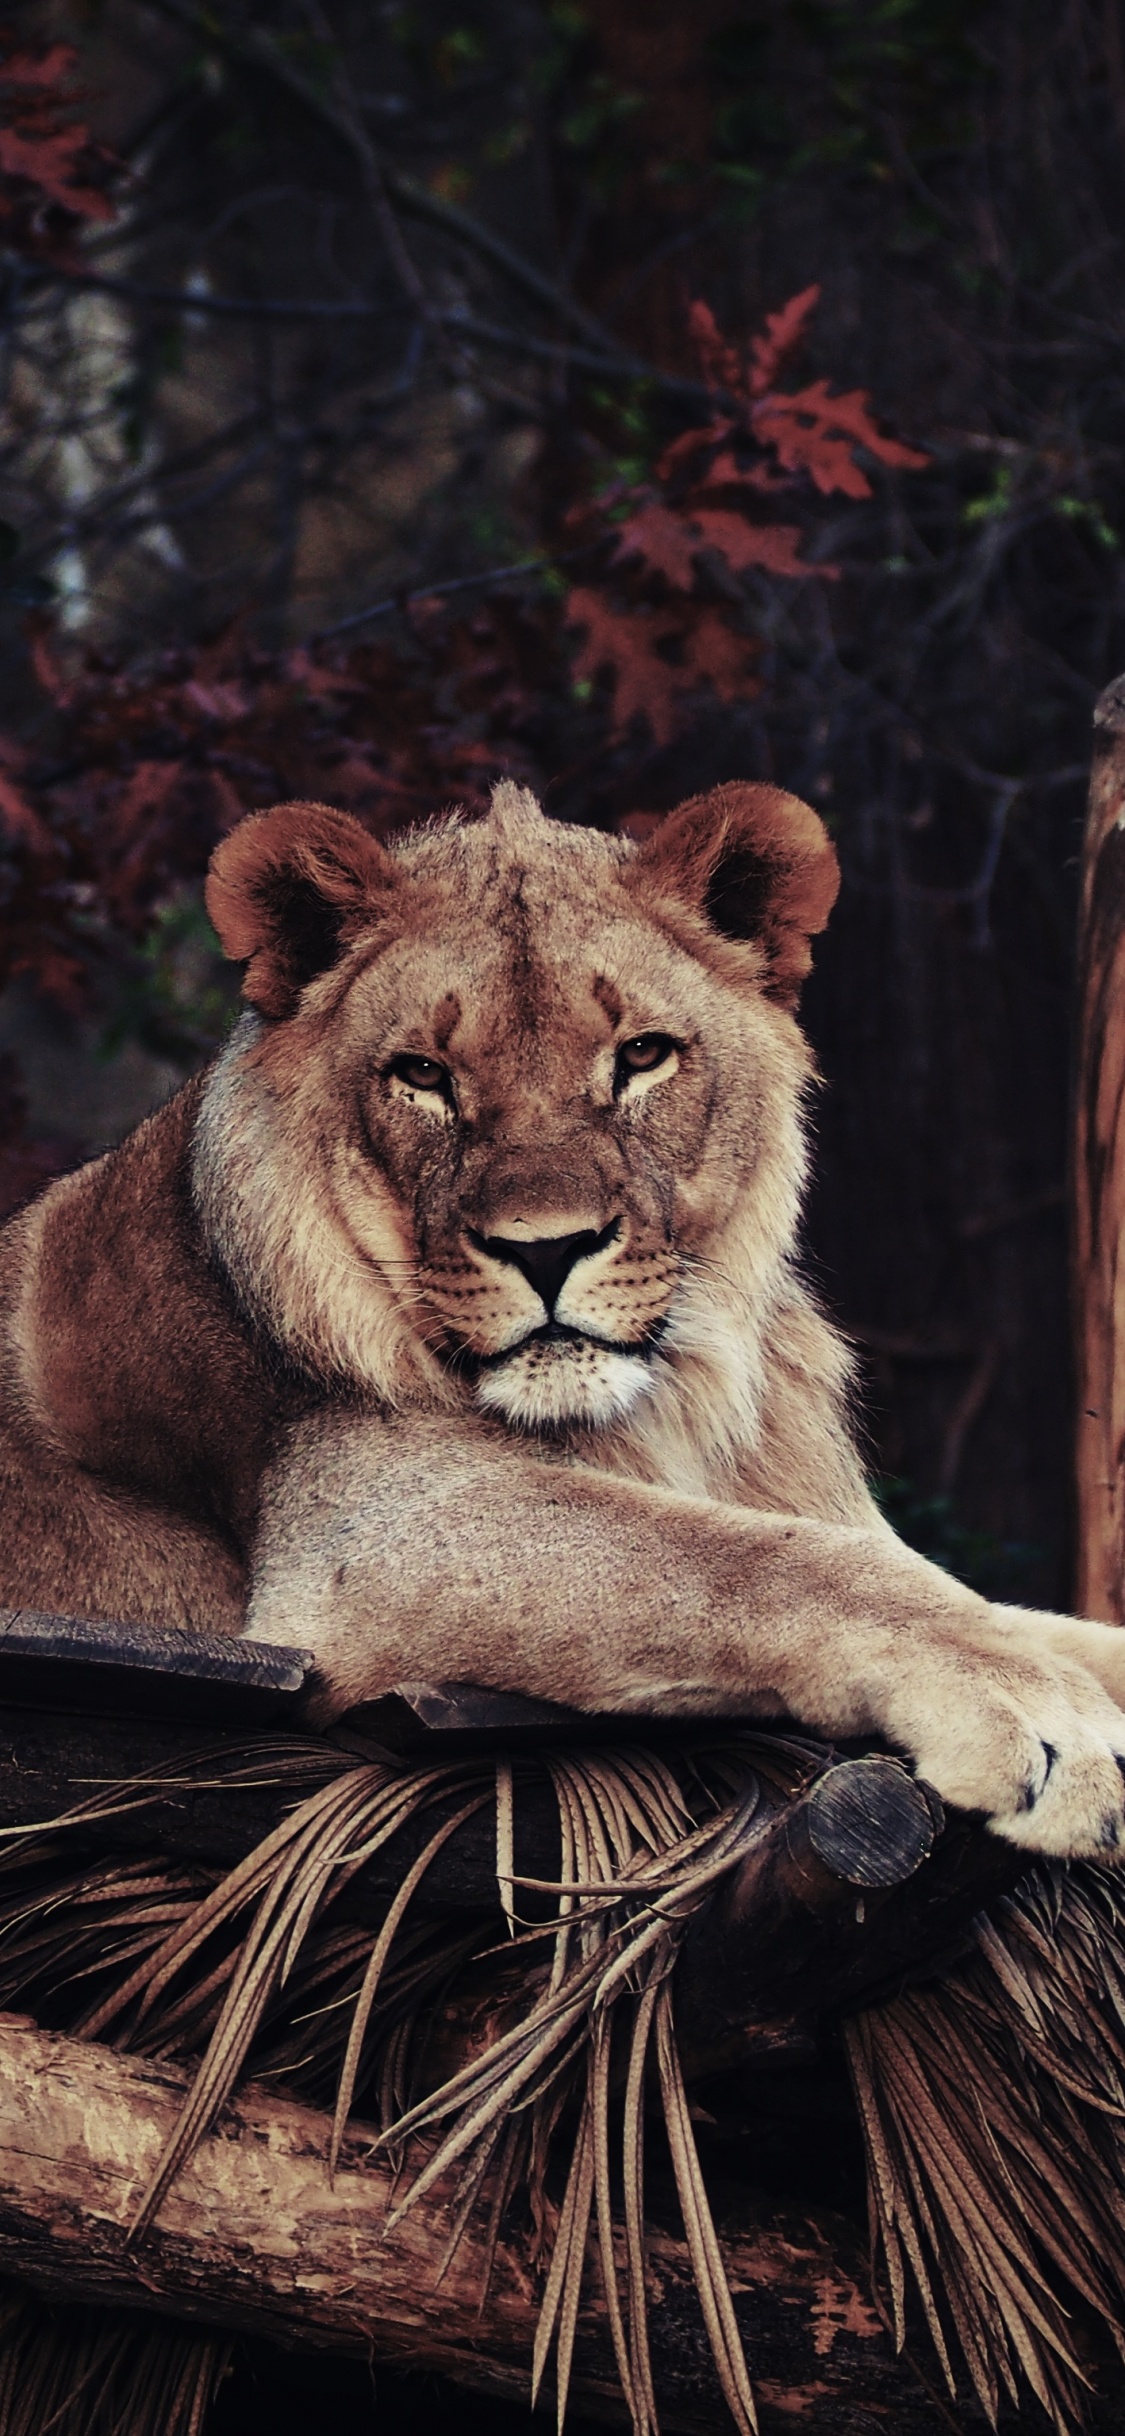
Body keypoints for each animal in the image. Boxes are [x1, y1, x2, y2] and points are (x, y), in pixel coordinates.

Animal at [2, 776, 1125, 1857]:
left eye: (642, 1056)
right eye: (423, 1075)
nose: (545, 1249)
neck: (666, 1405)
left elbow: (1008, 1607)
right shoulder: (363, 1541)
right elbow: (760, 1561)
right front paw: (1042, 1720)